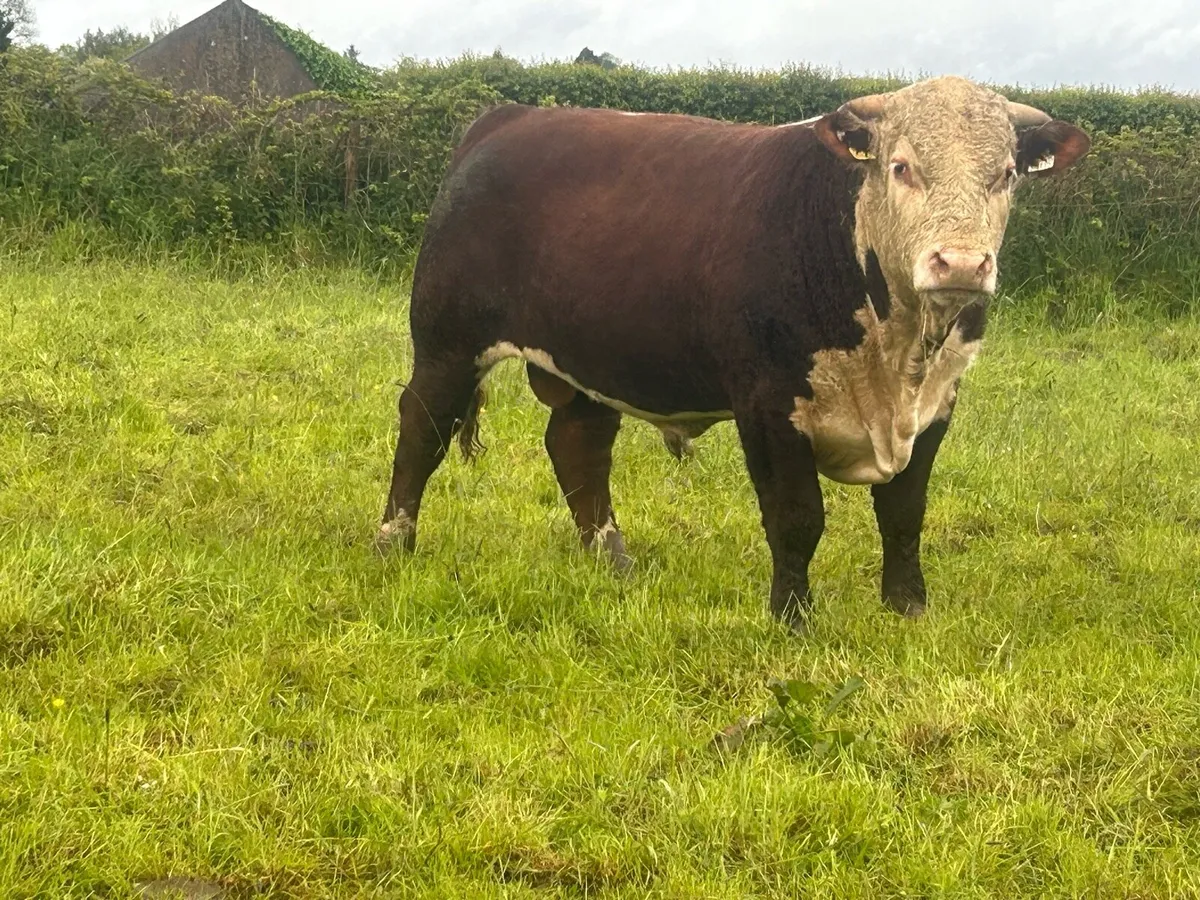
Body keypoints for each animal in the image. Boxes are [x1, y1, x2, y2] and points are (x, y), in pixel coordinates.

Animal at [375, 76, 1090, 631]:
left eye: (1005, 175)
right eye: (901, 167)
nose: (962, 263)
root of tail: (510, 117)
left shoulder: (937, 403)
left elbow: (904, 512)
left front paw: (907, 608)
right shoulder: (770, 403)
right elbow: (797, 517)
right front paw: (792, 620)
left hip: (593, 356)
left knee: (577, 445)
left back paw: (613, 562)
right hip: (446, 343)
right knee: (421, 430)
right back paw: (393, 544)